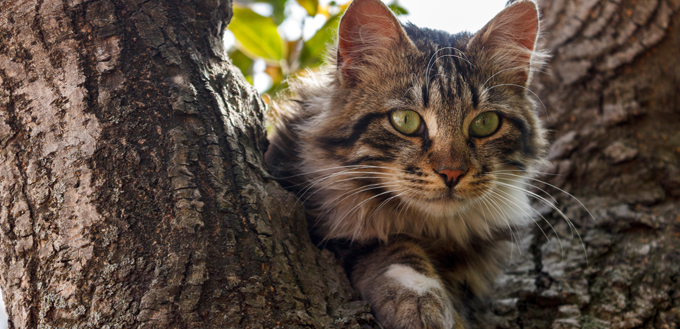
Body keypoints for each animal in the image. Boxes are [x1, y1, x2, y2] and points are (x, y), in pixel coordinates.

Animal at [264, 0, 548, 326]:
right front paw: (422, 302)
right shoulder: (335, 234)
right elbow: (395, 252)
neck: (431, 229)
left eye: (485, 123)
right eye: (406, 121)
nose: (452, 172)